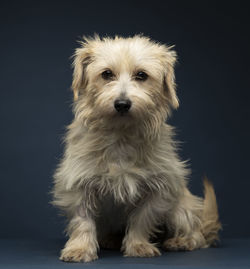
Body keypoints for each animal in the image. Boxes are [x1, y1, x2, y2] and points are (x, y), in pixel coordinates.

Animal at [51, 34, 221, 260]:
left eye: (141, 75)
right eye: (106, 74)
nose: (122, 104)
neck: (121, 135)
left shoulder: (159, 188)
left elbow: (142, 218)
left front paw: (138, 245)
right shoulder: (78, 183)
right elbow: (82, 220)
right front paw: (80, 248)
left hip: (181, 207)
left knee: (197, 235)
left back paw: (181, 241)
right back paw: (110, 239)